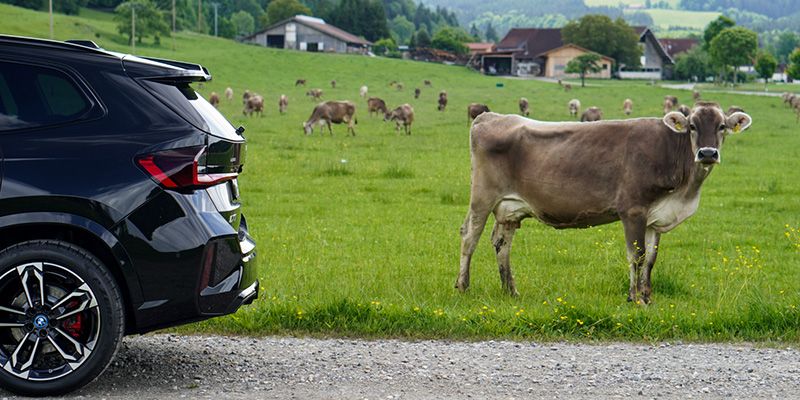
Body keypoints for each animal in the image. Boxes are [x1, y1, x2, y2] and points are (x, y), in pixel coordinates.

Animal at [456, 102, 753, 304]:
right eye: (692, 126)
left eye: (722, 127)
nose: (707, 153)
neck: (684, 192)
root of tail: (491, 116)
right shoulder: (632, 210)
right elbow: (636, 255)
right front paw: (635, 298)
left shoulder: (655, 217)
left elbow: (651, 259)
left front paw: (648, 297)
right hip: (482, 197)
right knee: (470, 236)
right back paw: (463, 286)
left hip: (509, 209)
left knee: (502, 244)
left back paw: (511, 291)